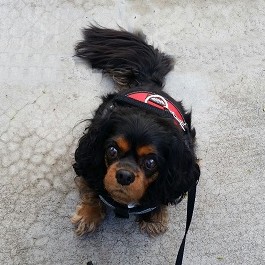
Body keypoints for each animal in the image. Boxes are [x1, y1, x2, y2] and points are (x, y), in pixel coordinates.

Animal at [71, 25, 199, 236]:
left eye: (151, 162)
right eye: (112, 150)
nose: (124, 175)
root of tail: (150, 82)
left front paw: (154, 218)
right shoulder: (88, 155)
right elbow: (92, 188)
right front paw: (88, 215)